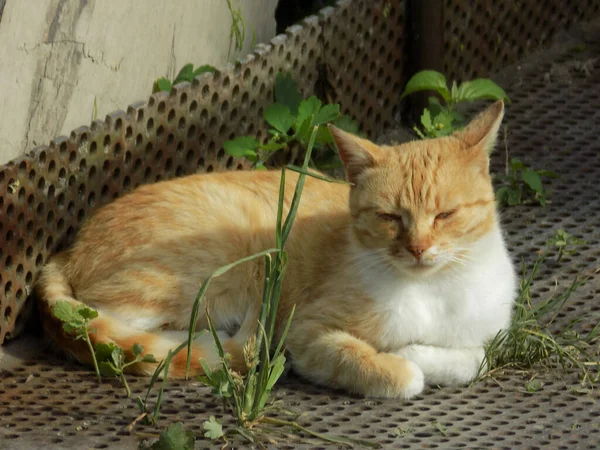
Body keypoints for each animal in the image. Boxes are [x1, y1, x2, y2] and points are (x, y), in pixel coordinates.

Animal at [36, 101, 516, 398]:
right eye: (390, 218)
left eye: (445, 215)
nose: (417, 248)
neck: (433, 291)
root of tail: (70, 248)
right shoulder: (305, 333)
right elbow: (386, 369)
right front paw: (400, 362)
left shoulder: (489, 335)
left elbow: (475, 359)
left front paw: (416, 352)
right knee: (108, 327)